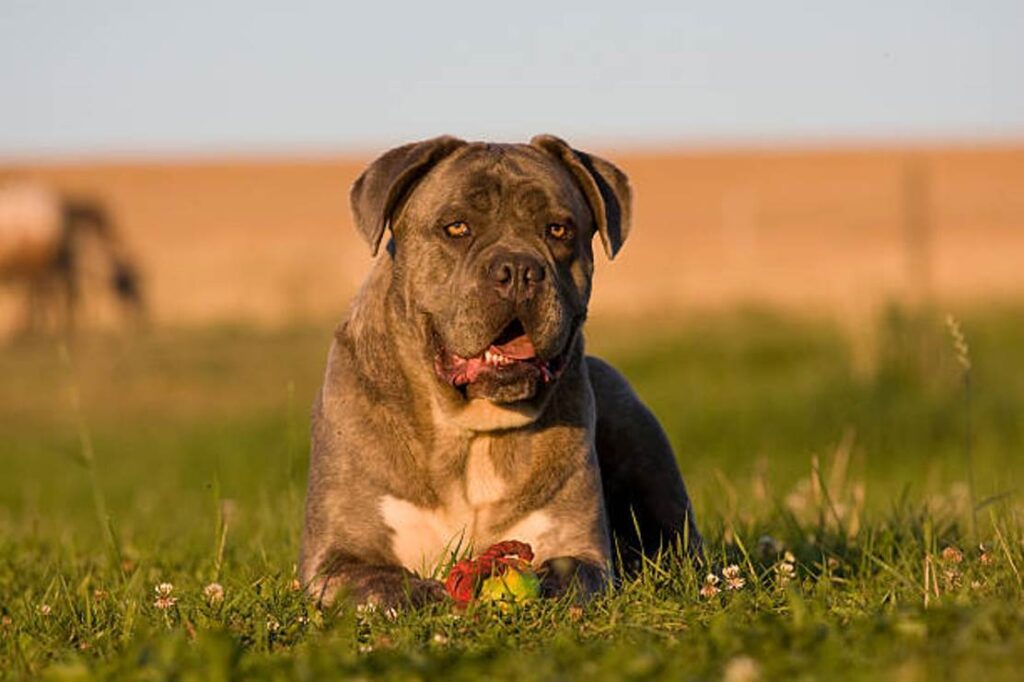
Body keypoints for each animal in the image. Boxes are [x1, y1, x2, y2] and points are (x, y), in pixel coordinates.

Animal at [294, 135, 696, 602]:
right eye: (456, 227)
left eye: (558, 229)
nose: (519, 269)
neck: (471, 429)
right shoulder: (335, 559)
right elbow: (381, 583)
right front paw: (427, 593)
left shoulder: (583, 551)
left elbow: (568, 573)